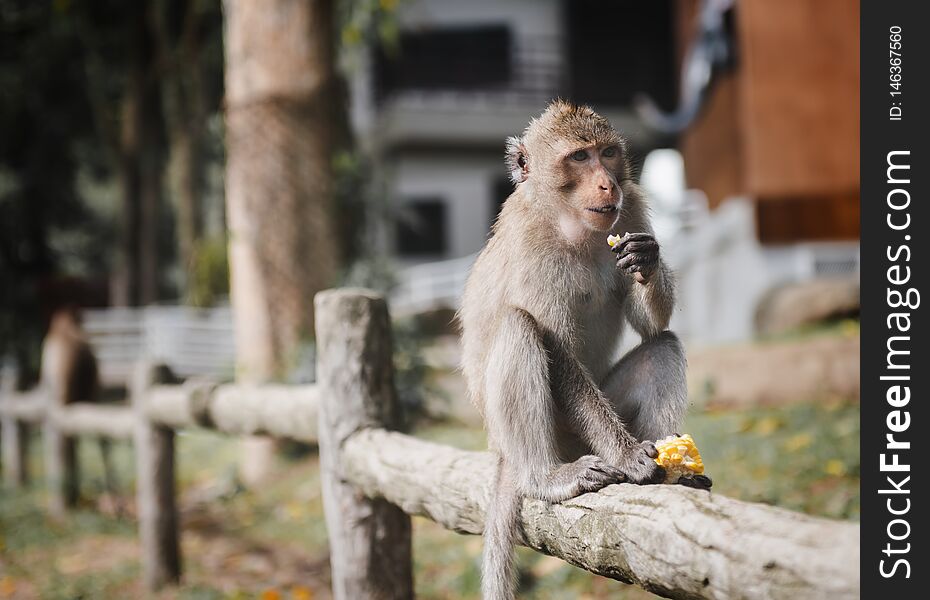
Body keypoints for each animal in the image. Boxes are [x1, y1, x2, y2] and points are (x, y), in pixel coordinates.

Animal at [458, 101, 712, 596]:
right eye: (579, 157)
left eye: (608, 153)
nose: (607, 183)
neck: (569, 223)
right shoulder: (533, 246)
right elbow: (556, 350)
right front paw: (628, 457)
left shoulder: (630, 211)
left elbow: (652, 326)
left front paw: (647, 260)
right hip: (554, 436)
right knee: (519, 327)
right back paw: (547, 477)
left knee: (664, 346)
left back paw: (672, 472)